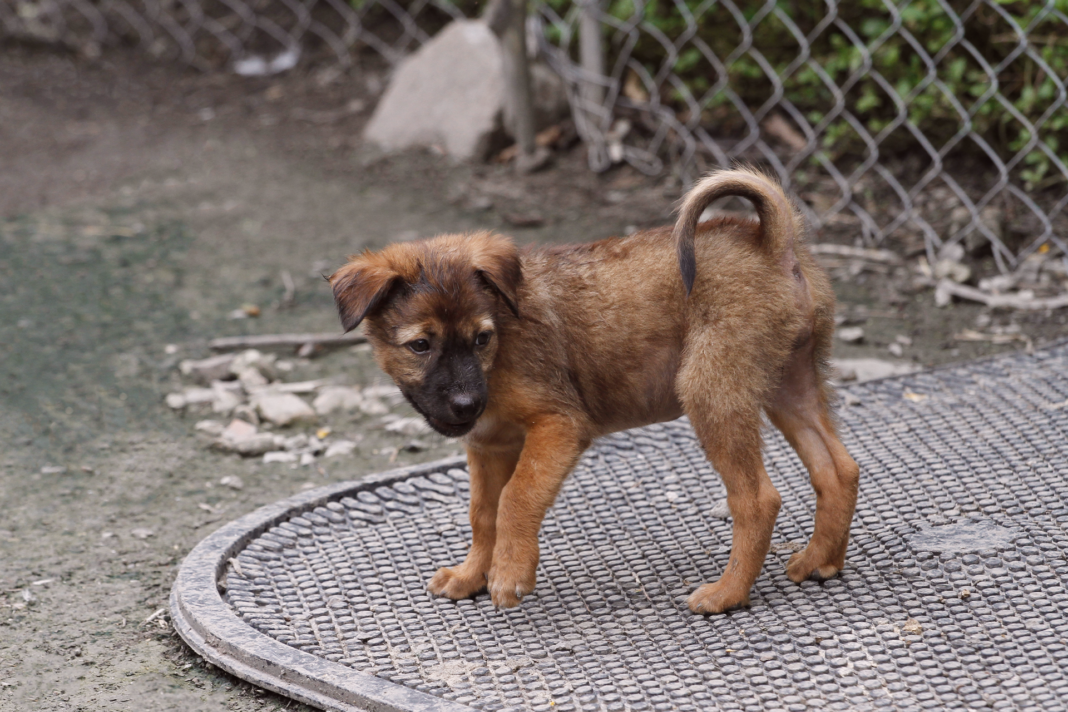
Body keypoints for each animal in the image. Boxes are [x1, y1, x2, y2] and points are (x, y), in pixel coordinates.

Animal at [331, 167, 858, 614]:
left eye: (481, 338)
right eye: (420, 345)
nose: (466, 405)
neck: (501, 347)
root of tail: (774, 242)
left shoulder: (559, 426)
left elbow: (515, 498)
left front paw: (509, 573)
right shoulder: (488, 445)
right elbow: (483, 513)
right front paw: (470, 575)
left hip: (712, 392)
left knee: (758, 499)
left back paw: (726, 593)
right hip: (789, 385)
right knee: (838, 469)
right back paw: (819, 561)